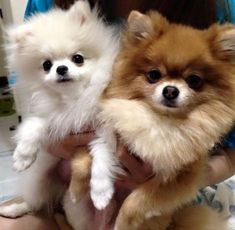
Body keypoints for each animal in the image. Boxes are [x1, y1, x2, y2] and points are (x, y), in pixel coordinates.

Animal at [0, 0, 119, 229]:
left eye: (78, 58)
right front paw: (22, 156)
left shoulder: (104, 130)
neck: (73, 98)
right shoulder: (52, 116)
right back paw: (13, 210)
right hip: (39, 182)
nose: (61, 68)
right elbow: (34, 126)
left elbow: (102, 157)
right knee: (34, 203)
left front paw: (101, 192)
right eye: (46, 65)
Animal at [85, 9, 235, 230]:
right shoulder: (115, 132)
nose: (170, 90)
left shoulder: (183, 177)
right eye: (154, 75)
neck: (161, 121)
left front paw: (123, 222)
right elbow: (101, 153)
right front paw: (99, 193)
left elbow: (139, 199)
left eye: (194, 80)